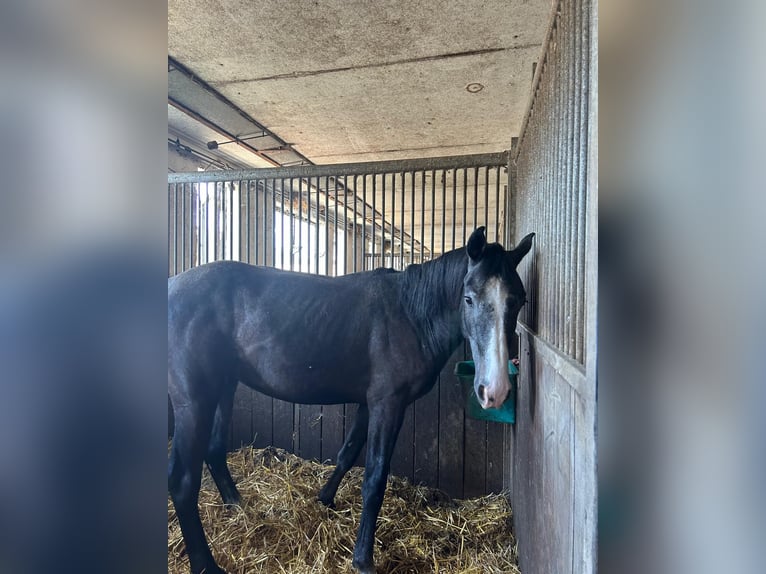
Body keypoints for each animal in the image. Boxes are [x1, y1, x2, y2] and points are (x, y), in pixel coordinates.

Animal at [171, 227, 536, 572]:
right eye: (469, 298)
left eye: (519, 300)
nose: (495, 390)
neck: (410, 315)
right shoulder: (388, 406)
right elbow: (374, 478)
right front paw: (362, 559)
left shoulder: (368, 404)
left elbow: (347, 454)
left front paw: (324, 500)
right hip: (195, 403)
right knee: (183, 483)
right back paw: (206, 565)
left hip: (224, 387)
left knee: (215, 451)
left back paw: (238, 506)